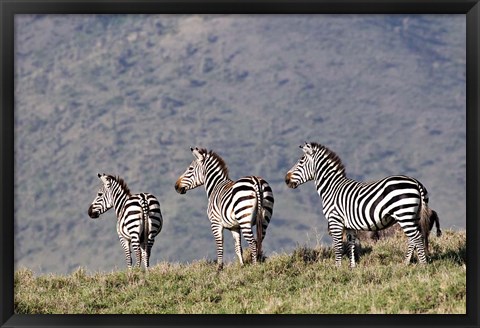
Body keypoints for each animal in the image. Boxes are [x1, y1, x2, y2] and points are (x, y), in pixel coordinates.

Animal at [284, 142, 438, 268]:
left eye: (301, 161)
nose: (286, 179)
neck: (332, 188)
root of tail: (416, 182)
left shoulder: (335, 221)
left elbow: (338, 247)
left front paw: (337, 269)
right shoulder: (349, 225)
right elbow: (351, 246)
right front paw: (352, 268)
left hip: (404, 213)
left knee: (416, 237)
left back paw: (423, 265)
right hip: (413, 215)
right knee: (414, 238)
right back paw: (406, 263)